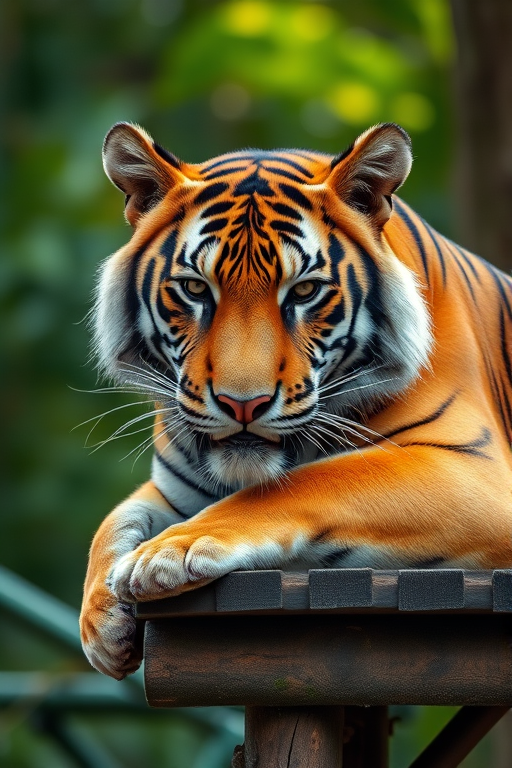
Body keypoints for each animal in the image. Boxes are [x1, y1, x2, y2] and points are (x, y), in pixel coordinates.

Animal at [79, 121, 512, 679]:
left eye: (304, 291)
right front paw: (101, 621)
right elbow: (115, 518)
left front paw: (169, 553)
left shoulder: (474, 471)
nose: (243, 404)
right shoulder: (176, 489)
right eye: (195, 288)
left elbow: (307, 483)